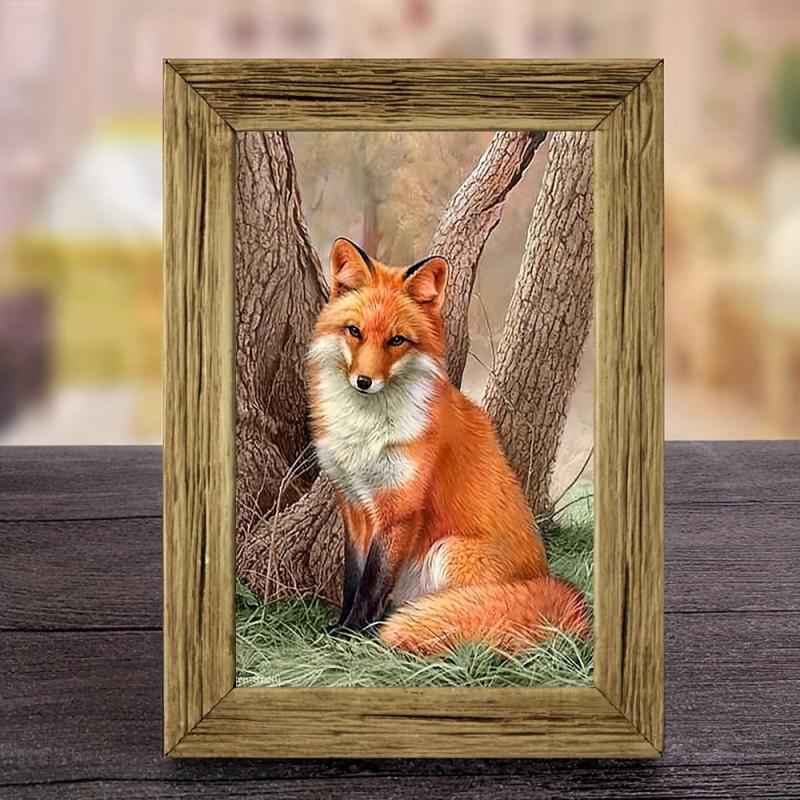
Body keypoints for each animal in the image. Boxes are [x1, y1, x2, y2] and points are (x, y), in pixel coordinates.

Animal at [307, 237, 590, 657]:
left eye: (396, 340)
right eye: (354, 331)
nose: (364, 382)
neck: (366, 434)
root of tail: (545, 581)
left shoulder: (399, 509)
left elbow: (373, 583)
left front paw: (354, 634)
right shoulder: (354, 505)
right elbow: (353, 579)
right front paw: (342, 626)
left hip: (447, 552)